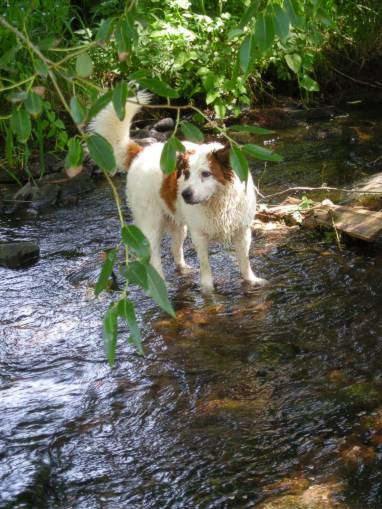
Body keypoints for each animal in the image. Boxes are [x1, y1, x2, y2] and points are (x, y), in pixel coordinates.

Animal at [90, 92, 268, 290]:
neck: (217, 201)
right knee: (154, 256)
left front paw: (251, 280)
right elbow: (205, 264)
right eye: (187, 174)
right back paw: (161, 283)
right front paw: (207, 289)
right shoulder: (199, 235)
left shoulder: (242, 232)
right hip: (151, 224)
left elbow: (245, 261)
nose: (185, 194)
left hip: (178, 225)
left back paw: (183, 269)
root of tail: (141, 152)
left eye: (206, 174)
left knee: (175, 248)